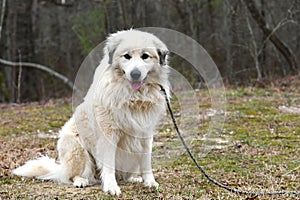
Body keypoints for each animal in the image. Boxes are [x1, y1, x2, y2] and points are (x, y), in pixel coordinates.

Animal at [11, 29, 170, 195]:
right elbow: (108, 165)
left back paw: (133, 178)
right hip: (77, 148)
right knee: (72, 176)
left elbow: (146, 162)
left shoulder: (145, 133)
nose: (135, 74)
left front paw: (150, 182)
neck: (133, 97)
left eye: (145, 56)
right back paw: (81, 181)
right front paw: (111, 187)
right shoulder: (108, 133)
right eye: (127, 56)